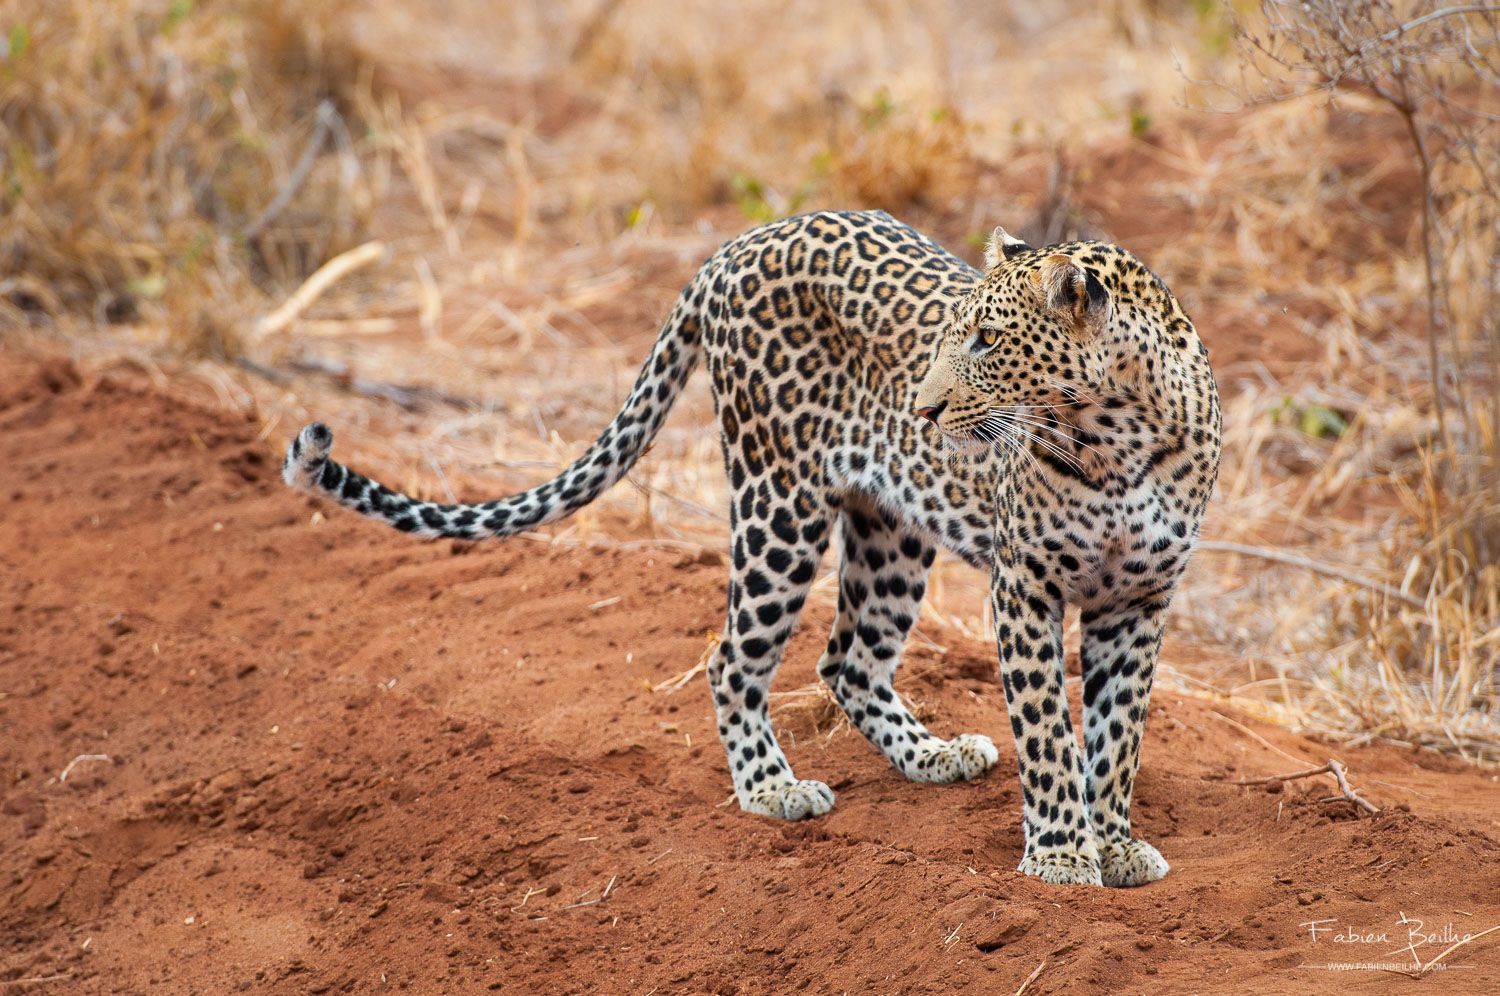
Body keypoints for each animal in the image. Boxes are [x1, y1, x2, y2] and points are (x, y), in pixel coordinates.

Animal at [282, 210, 1218, 888]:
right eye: (958, 335)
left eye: (988, 340)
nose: (921, 408)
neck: (1114, 436)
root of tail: (737, 245)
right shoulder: (1025, 587)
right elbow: (1051, 733)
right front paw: (1061, 855)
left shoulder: (1140, 600)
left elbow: (1118, 736)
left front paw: (1116, 845)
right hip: (778, 506)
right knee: (732, 657)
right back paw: (773, 789)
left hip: (891, 528)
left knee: (849, 658)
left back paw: (932, 756)